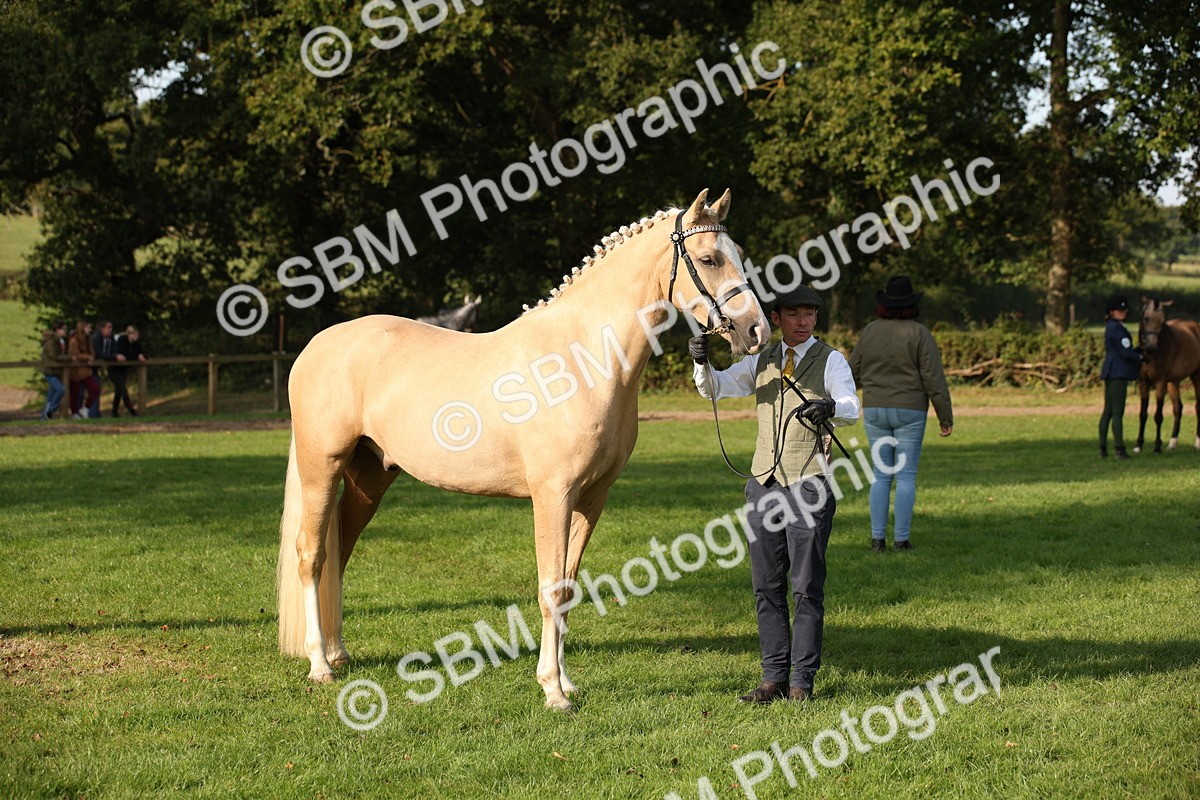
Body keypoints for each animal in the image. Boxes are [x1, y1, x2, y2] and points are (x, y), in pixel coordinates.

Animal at [277, 189, 770, 710]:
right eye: (709, 259)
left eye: (738, 254)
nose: (757, 332)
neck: (582, 358)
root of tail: (317, 345)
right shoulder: (553, 496)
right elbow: (550, 588)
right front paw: (553, 690)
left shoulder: (591, 499)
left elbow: (568, 588)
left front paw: (566, 682)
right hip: (321, 470)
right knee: (312, 555)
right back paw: (320, 666)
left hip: (368, 477)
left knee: (339, 553)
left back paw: (338, 653)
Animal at [1134, 297, 1200, 453]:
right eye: (1146, 318)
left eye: (1162, 320)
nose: (1151, 347)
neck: (1150, 356)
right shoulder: (1143, 382)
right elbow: (1143, 414)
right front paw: (1139, 445)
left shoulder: (1160, 382)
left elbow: (1158, 415)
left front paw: (1157, 446)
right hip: (1173, 382)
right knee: (1178, 408)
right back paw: (1172, 442)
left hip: (1197, 377)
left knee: (1197, 407)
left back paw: (1198, 442)